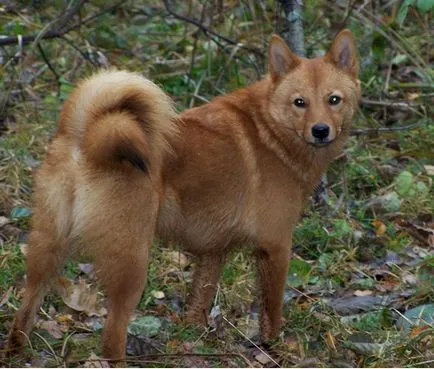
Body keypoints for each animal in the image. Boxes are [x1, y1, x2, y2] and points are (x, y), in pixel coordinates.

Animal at [7, 30, 360, 360]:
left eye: (334, 100)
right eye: (300, 102)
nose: (320, 130)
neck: (269, 130)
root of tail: (87, 133)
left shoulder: (213, 252)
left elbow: (199, 302)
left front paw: (196, 341)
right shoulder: (275, 247)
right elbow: (271, 311)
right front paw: (275, 349)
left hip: (46, 250)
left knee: (24, 311)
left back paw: (16, 351)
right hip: (132, 264)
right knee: (112, 335)